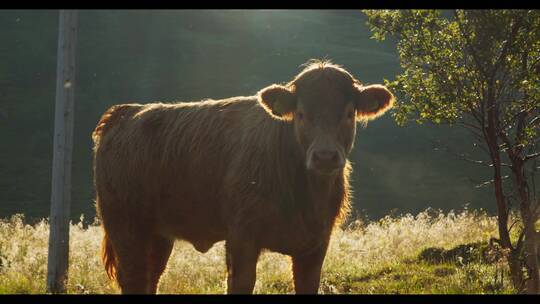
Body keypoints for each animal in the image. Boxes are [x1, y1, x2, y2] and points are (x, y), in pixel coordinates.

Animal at [92, 58, 392, 294]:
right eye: (301, 114)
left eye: (349, 113)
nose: (325, 156)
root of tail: (126, 112)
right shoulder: (242, 238)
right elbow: (241, 283)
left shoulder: (315, 246)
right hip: (126, 227)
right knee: (133, 278)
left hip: (158, 235)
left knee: (150, 278)